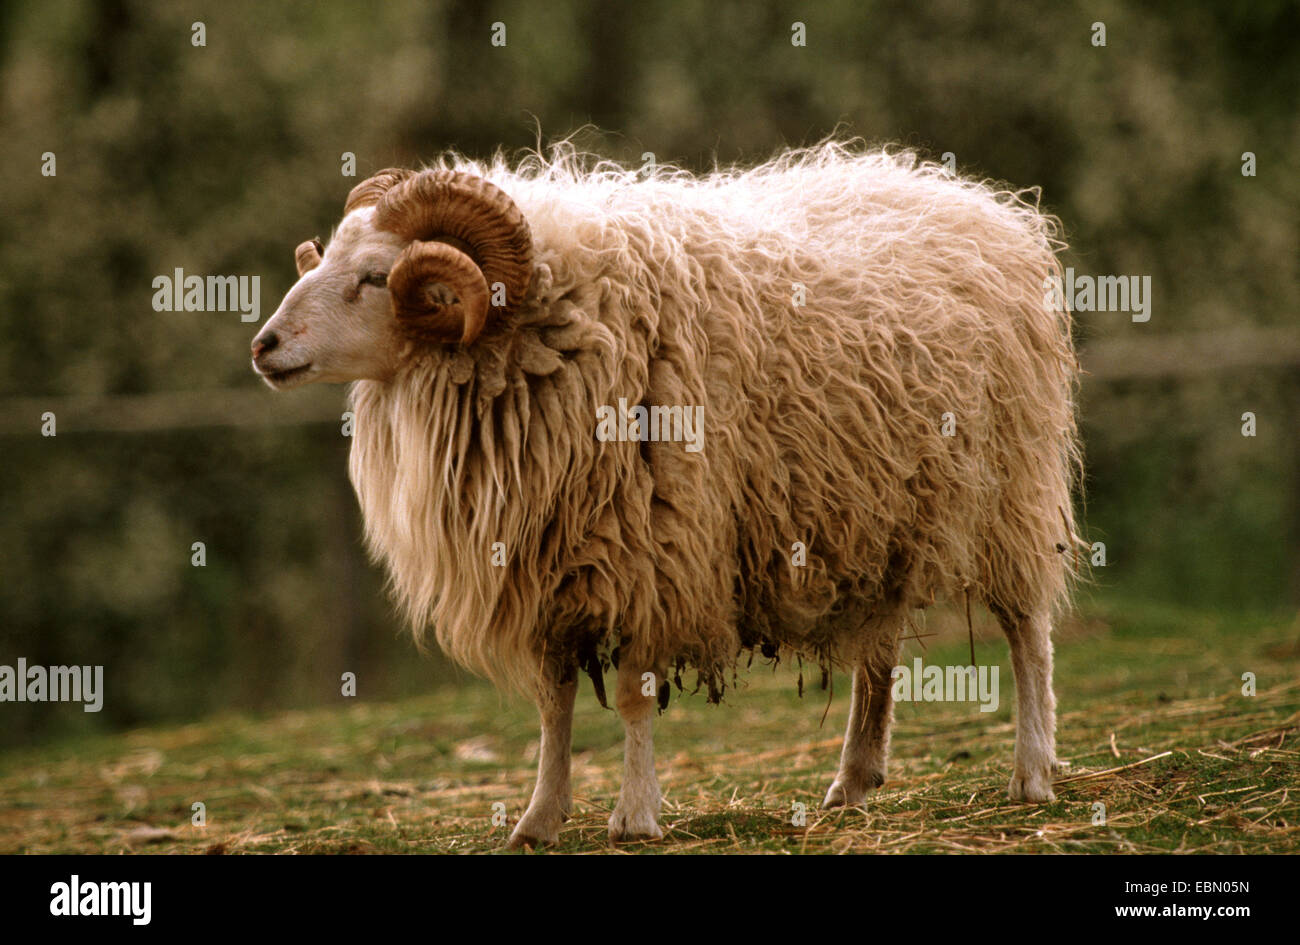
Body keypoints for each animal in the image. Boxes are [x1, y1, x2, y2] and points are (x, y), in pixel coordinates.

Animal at [250, 140, 1082, 848]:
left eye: (373, 276)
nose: (264, 345)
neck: (553, 324)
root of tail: (983, 205)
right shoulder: (549, 569)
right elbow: (554, 705)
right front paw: (538, 818)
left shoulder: (656, 551)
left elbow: (630, 696)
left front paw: (635, 815)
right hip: (877, 514)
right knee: (878, 650)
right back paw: (852, 782)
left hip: (1010, 491)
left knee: (1028, 631)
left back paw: (1032, 773)